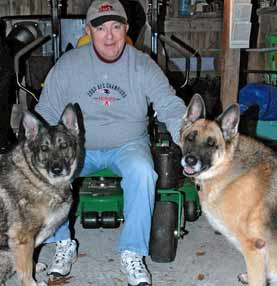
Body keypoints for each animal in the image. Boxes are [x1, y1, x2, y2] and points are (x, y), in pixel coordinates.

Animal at [0, 103, 82, 286]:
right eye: (44, 149)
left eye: (64, 146)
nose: (57, 170)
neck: (37, 178)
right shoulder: (23, 238)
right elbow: (25, 270)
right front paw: (32, 282)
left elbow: (27, 262)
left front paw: (34, 267)